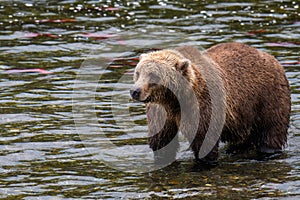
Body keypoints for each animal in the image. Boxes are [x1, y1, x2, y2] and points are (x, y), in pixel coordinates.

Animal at [129, 42, 290, 166]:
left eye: (153, 75)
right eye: (138, 73)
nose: (135, 91)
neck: (175, 100)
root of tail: (271, 58)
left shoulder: (202, 106)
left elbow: (203, 138)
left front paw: (205, 162)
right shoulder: (161, 111)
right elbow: (162, 139)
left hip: (268, 97)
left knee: (271, 130)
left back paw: (267, 151)